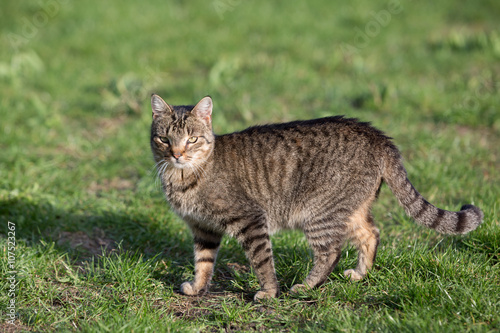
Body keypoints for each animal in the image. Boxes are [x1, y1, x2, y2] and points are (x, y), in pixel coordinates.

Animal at [149, 94, 484, 300]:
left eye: (192, 139)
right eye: (164, 139)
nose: (177, 153)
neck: (183, 176)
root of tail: (377, 135)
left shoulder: (250, 220)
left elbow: (262, 261)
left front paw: (269, 293)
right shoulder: (203, 228)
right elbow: (203, 262)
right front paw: (198, 288)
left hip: (318, 214)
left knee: (331, 252)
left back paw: (307, 286)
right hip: (349, 210)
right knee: (372, 232)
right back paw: (359, 274)